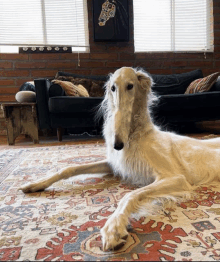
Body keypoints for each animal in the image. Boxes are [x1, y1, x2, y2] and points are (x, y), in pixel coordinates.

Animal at [19, 67, 220, 252]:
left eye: (130, 86)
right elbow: (69, 168)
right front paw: (37, 183)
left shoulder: (175, 177)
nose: (117, 145)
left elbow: (129, 195)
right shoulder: (114, 163)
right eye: (112, 88)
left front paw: (113, 228)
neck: (137, 135)